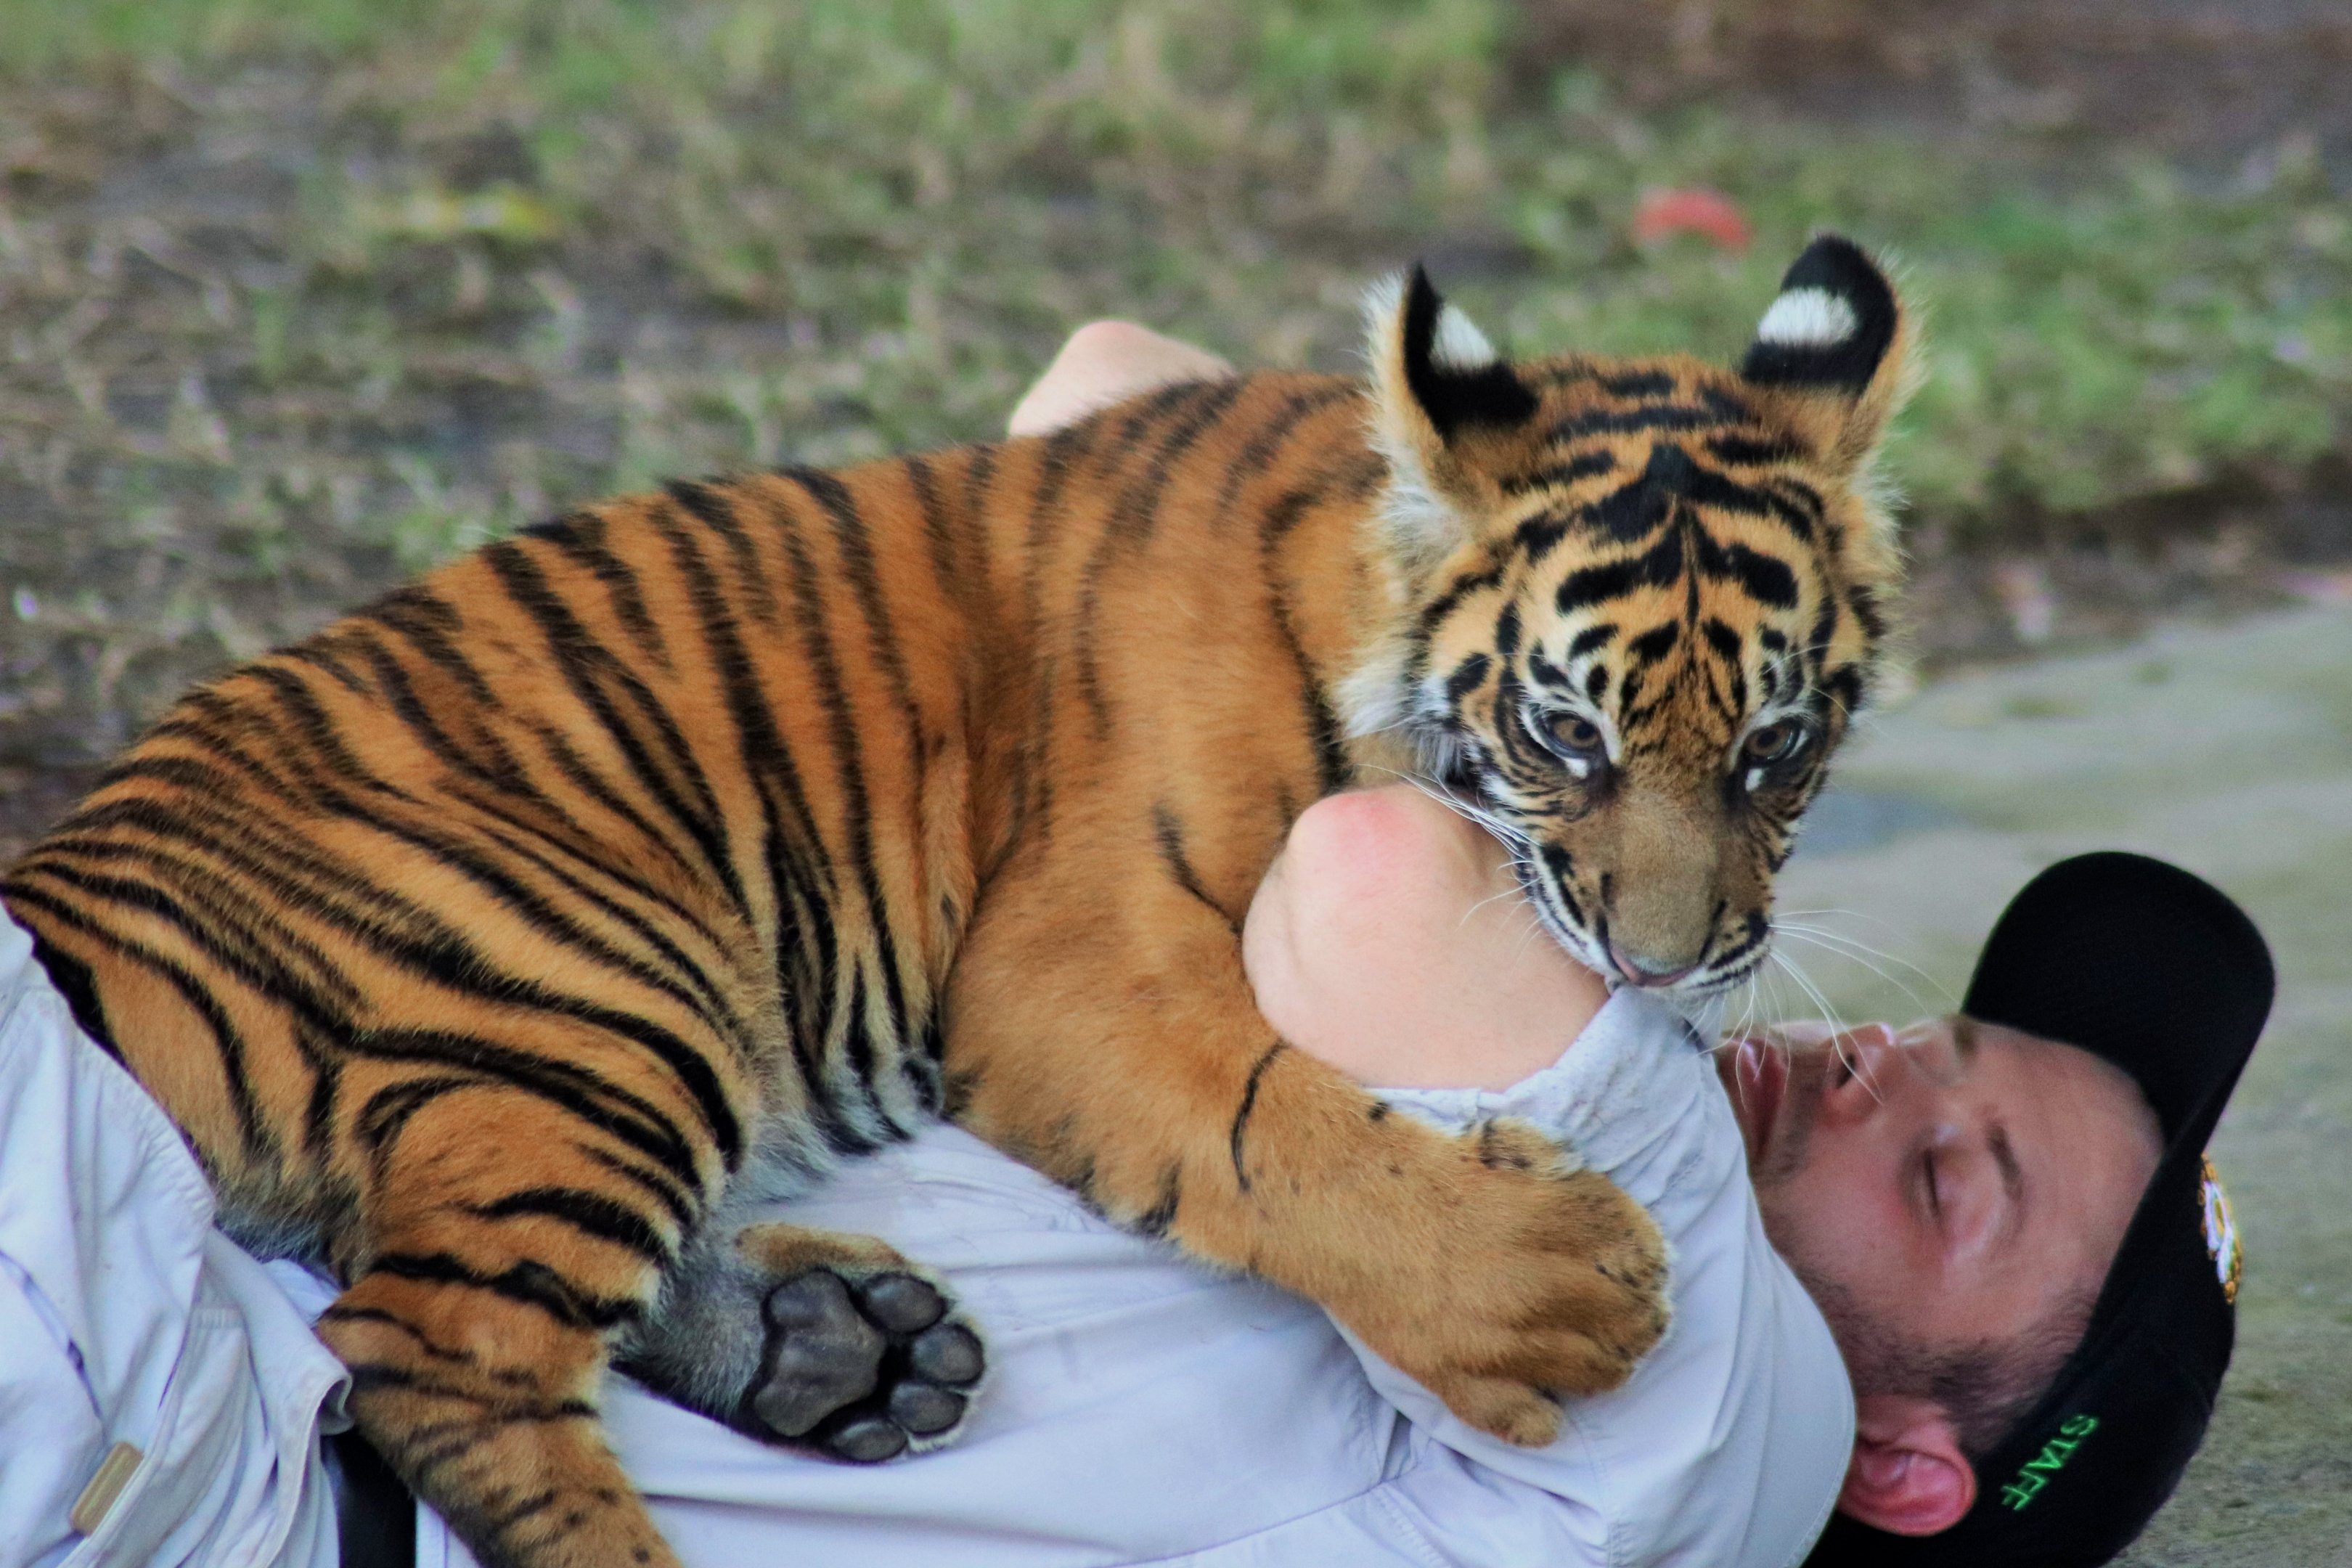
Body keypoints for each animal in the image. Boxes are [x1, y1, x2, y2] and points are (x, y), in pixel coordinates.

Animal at [4, 234, 1912, 1568]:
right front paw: (1549, 1286)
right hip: (595, 980)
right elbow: (1266, 1125)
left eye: (1780, 747)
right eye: (1561, 733)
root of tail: (66, 892)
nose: (1668, 964)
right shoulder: (1063, 962)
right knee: (427, 1346)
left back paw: (832, 1349)